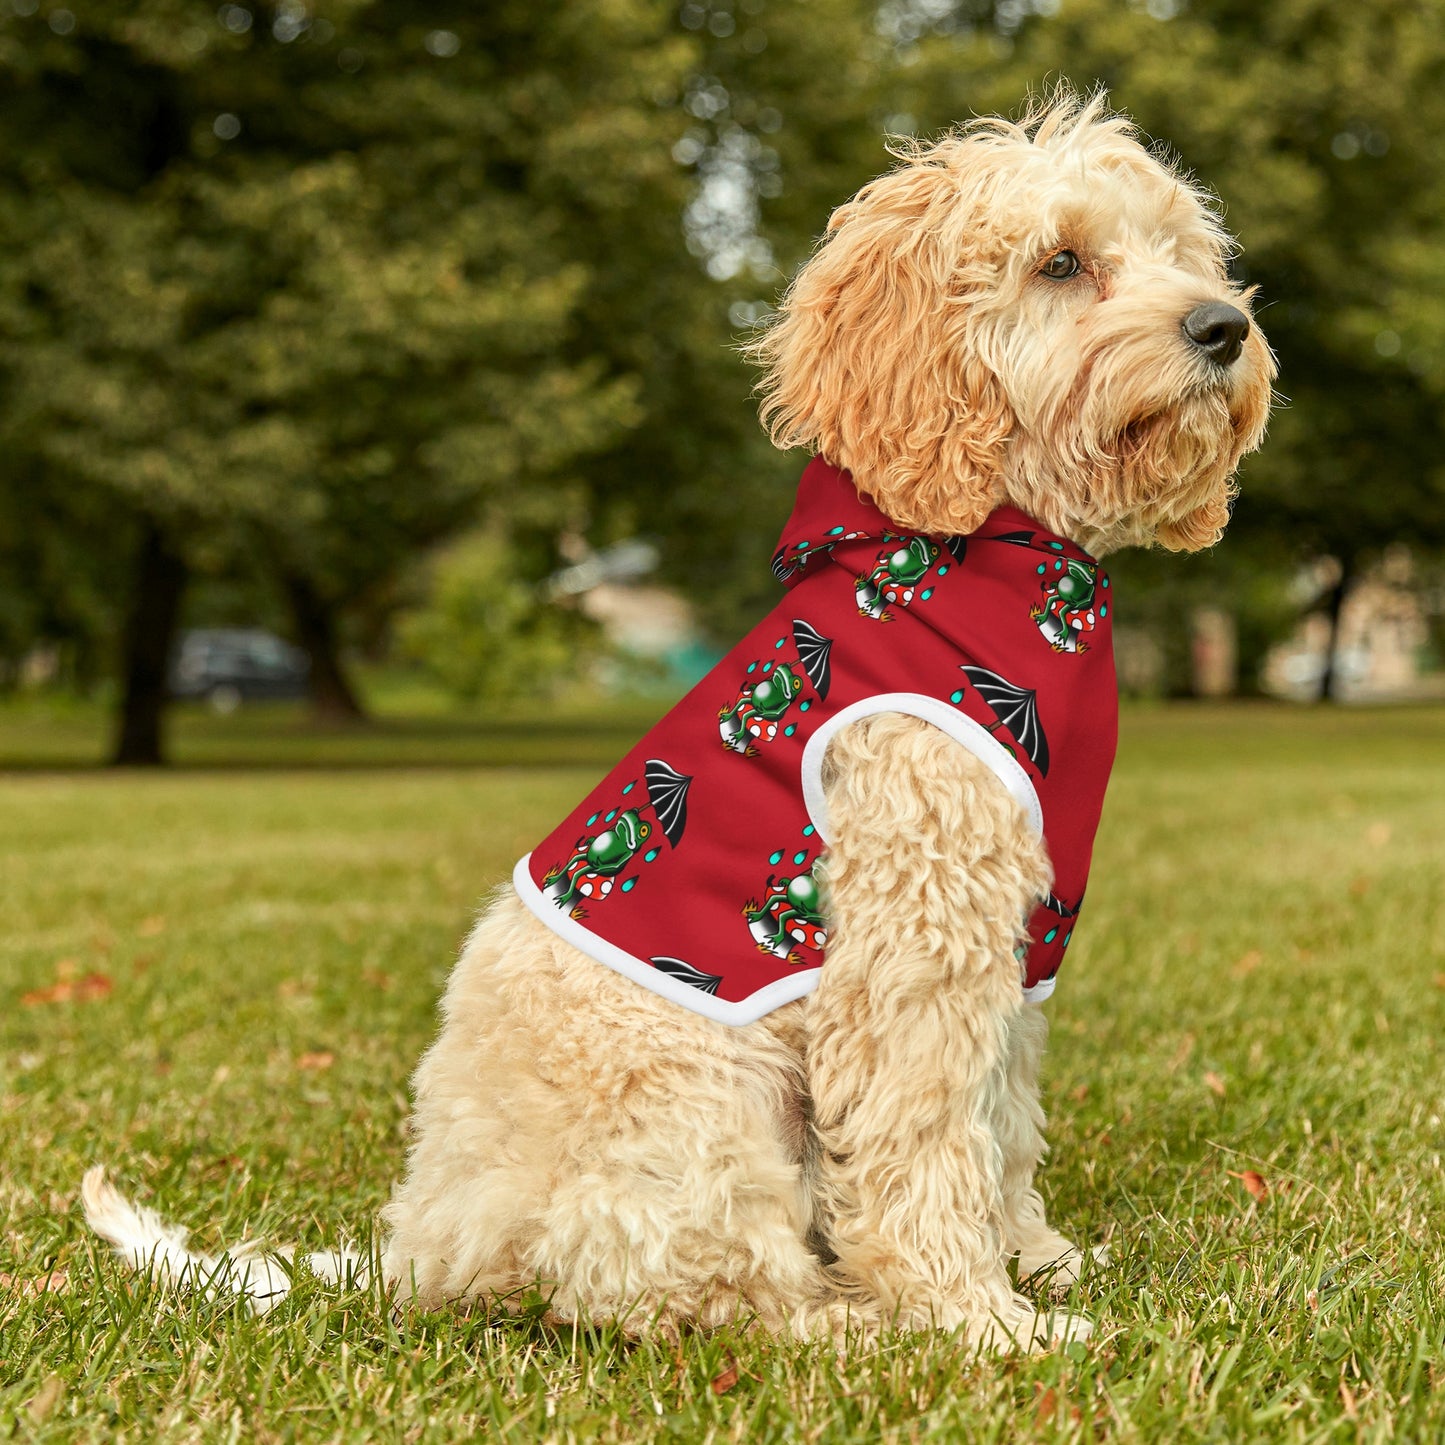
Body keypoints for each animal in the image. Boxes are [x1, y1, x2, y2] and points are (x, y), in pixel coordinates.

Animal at [84, 93, 1271, 1352]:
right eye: (1060, 262)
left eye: (1180, 252)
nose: (1222, 327)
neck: (993, 557)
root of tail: (424, 1246)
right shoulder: (912, 943)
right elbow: (924, 1140)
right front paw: (977, 1319)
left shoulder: (1013, 943)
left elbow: (999, 1123)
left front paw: (1035, 1260)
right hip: (704, 1101)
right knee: (700, 1291)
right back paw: (852, 1322)